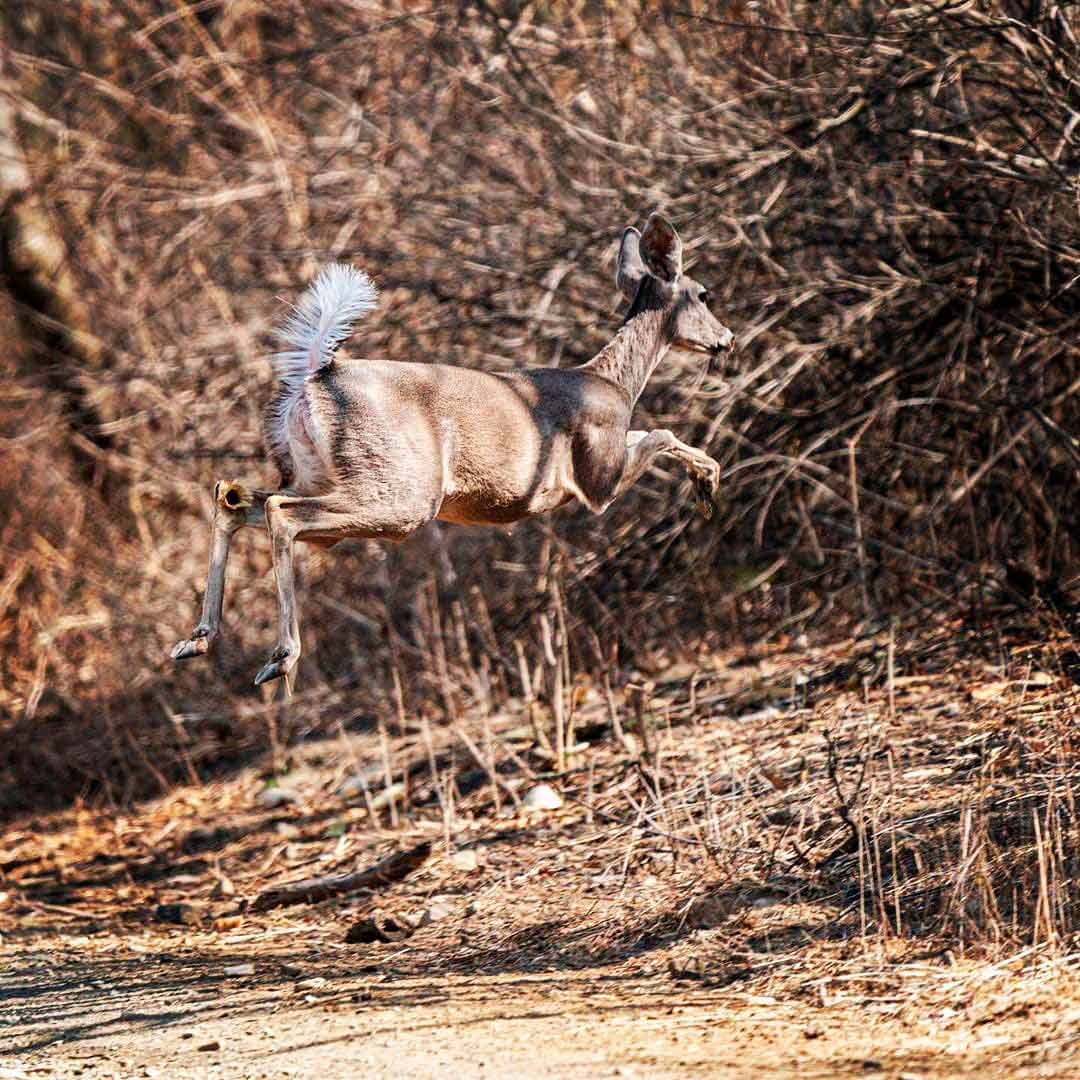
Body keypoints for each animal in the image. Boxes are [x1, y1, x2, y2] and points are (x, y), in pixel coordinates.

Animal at [170, 210, 734, 691]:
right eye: (704, 294)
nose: (727, 339)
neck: (615, 383)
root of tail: (317, 375)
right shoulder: (597, 479)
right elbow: (661, 434)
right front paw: (707, 485)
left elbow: (656, 436)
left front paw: (707, 483)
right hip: (400, 492)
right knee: (278, 511)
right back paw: (280, 658)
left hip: (322, 477)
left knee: (234, 496)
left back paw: (197, 640)